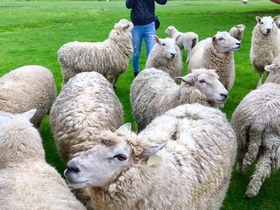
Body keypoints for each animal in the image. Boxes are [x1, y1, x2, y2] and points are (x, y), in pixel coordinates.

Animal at [232, 54, 280, 199]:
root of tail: (259, 122)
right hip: (272, 144)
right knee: (261, 167)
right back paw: (250, 189)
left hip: (241, 135)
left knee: (242, 157)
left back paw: (241, 174)